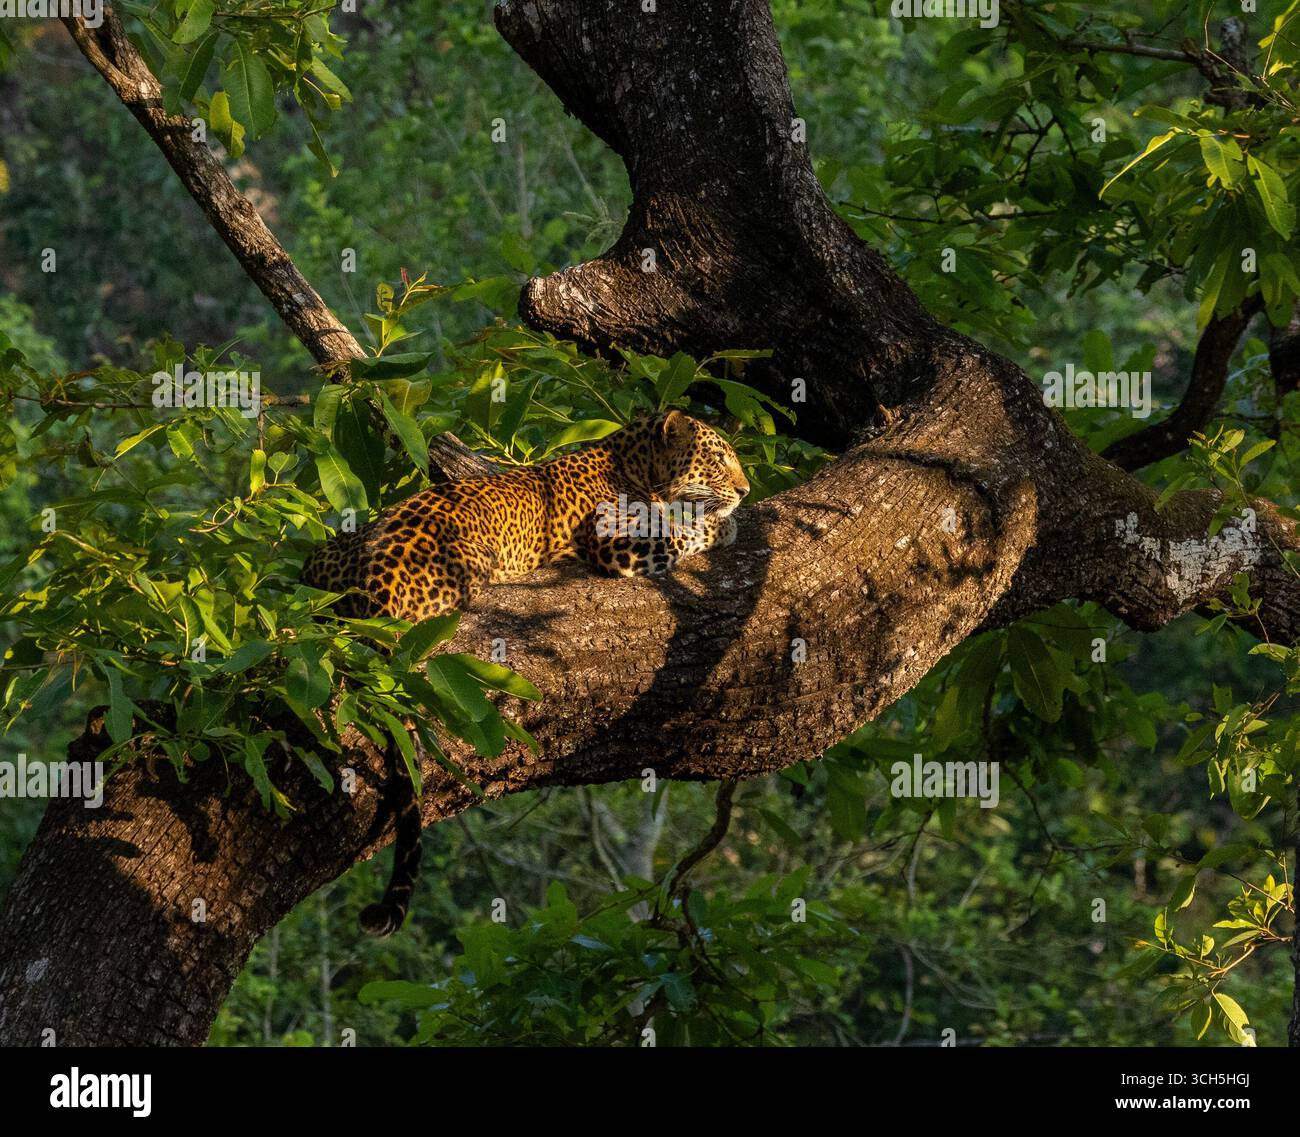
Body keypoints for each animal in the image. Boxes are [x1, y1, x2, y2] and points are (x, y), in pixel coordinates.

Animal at [300, 409, 750, 935]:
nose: (745, 489)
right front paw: (724, 524)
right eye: (717, 459)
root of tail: (375, 587)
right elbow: (685, 532)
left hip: (324, 556)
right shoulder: (615, 538)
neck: (634, 461)